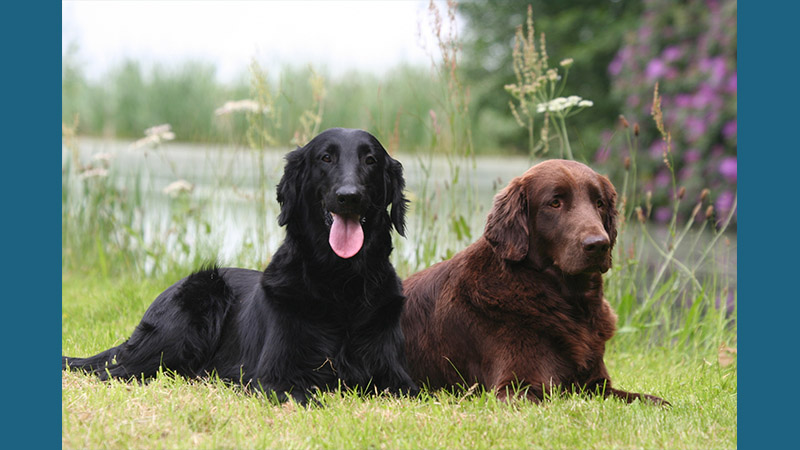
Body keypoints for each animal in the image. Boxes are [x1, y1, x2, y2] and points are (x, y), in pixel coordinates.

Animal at [62, 127, 418, 404]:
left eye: (370, 160)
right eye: (325, 158)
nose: (349, 196)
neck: (341, 284)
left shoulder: (397, 377)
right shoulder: (274, 376)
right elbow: (305, 397)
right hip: (199, 298)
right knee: (117, 371)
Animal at [400, 158, 668, 404]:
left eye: (599, 203)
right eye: (555, 202)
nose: (599, 244)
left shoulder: (597, 383)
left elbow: (645, 399)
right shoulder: (513, 388)